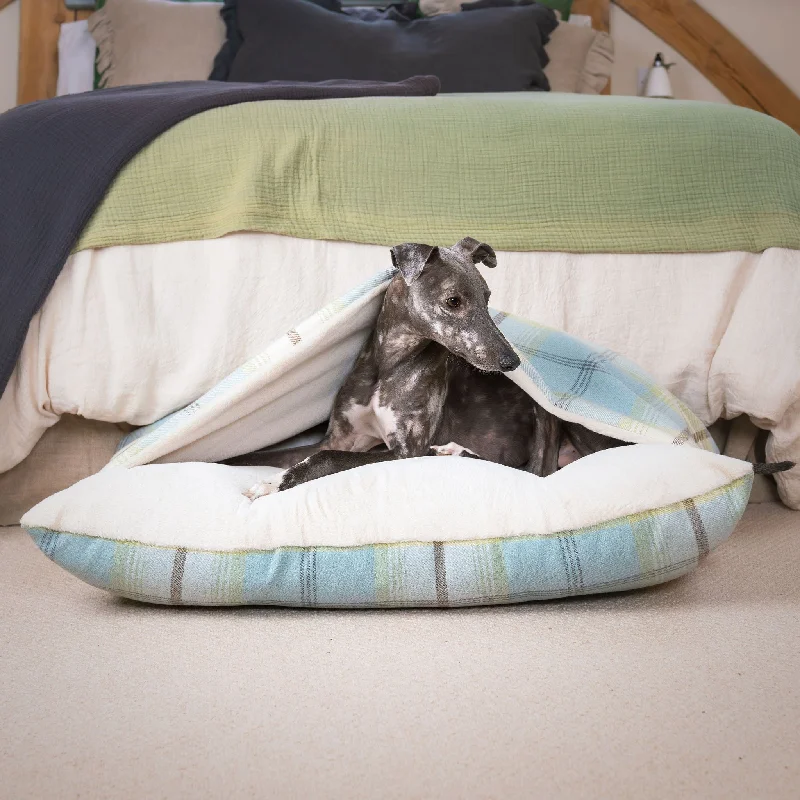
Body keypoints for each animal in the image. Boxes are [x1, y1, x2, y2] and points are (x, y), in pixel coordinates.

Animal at [227, 236, 624, 500]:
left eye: (488, 298)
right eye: (453, 300)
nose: (511, 363)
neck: (388, 366)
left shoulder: (406, 451)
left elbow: (327, 459)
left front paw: (272, 484)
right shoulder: (343, 436)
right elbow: (260, 455)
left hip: (554, 414)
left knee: (537, 471)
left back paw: (453, 452)